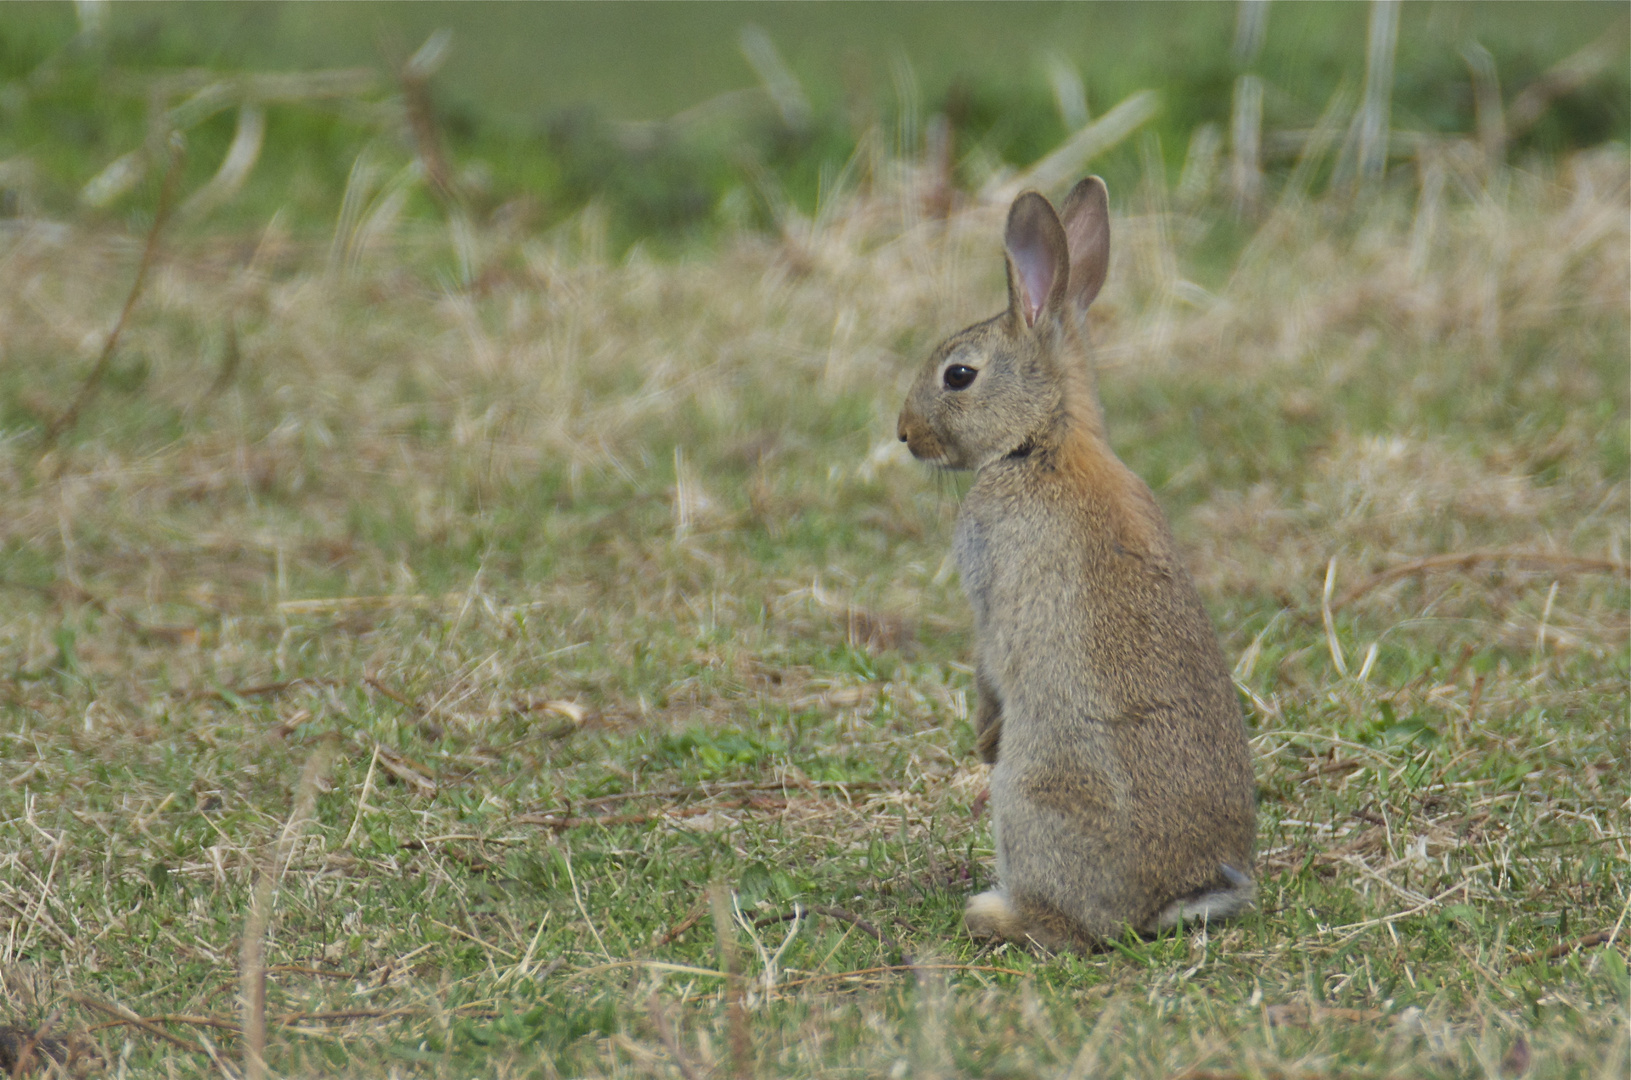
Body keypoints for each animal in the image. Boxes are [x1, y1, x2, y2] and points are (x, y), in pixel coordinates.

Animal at [900, 177, 1252, 959]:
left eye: (959, 375)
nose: (903, 435)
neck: (1042, 439)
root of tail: (1167, 900)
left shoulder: (990, 590)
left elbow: (990, 661)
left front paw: (981, 737)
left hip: (1029, 796)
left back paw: (988, 914)